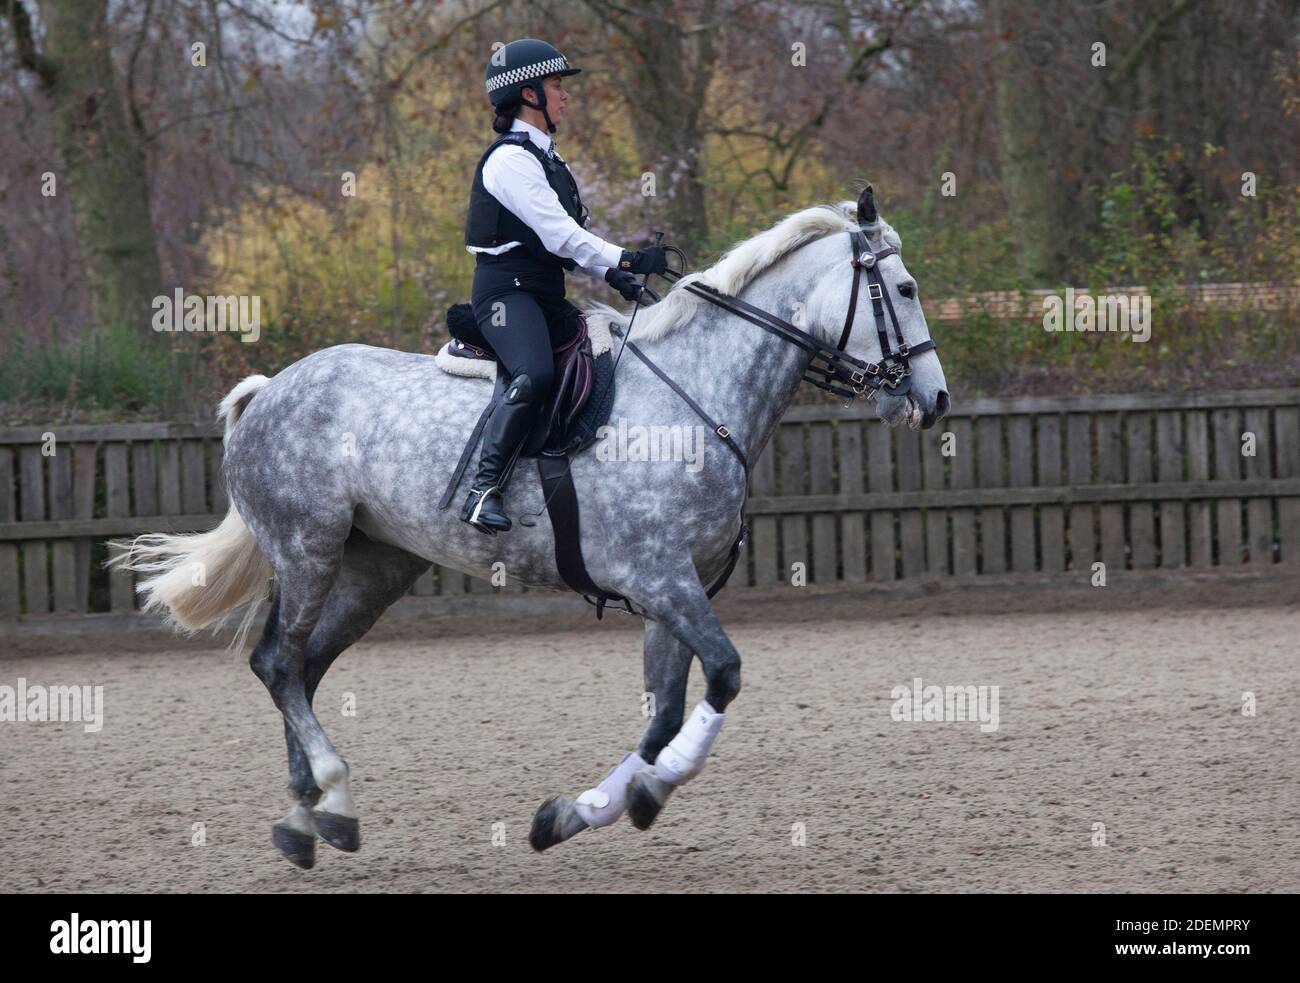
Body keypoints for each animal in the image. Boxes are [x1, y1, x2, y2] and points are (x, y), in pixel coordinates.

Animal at [116, 185, 951, 868]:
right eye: (906, 288)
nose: (934, 399)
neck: (696, 393)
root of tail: (267, 390)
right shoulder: (660, 578)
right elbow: (724, 676)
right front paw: (643, 794)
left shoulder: (675, 591)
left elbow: (663, 715)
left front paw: (577, 812)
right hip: (307, 550)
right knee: (278, 663)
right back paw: (332, 794)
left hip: (372, 569)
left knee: (302, 667)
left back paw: (305, 821)